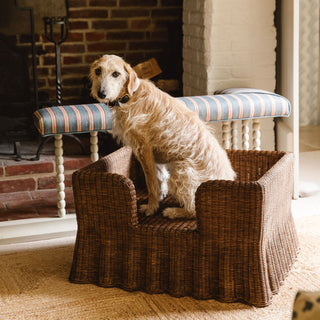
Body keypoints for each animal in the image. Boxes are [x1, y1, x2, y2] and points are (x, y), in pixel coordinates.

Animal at [89, 55, 235, 220]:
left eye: (116, 74)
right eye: (98, 70)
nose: (101, 93)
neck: (131, 95)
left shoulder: (144, 148)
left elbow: (151, 183)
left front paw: (151, 208)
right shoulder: (154, 156)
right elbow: (159, 178)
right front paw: (159, 197)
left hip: (181, 170)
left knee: (194, 210)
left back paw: (173, 211)